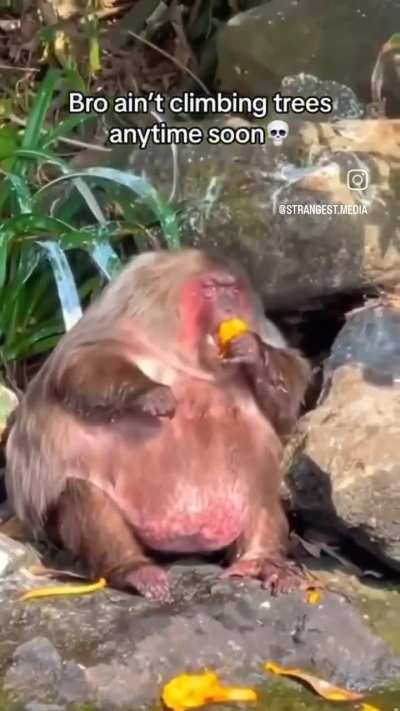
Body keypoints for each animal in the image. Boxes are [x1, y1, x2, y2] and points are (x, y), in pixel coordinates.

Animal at [5, 249, 310, 601]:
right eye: (210, 290)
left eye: (232, 290)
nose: (229, 308)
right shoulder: (128, 309)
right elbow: (80, 364)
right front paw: (149, 393)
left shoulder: (260, 328)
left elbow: (284, 410)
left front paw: (254, 352)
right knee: (82, 493)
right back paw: (131, 568)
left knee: (260, 485)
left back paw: (262, 560)